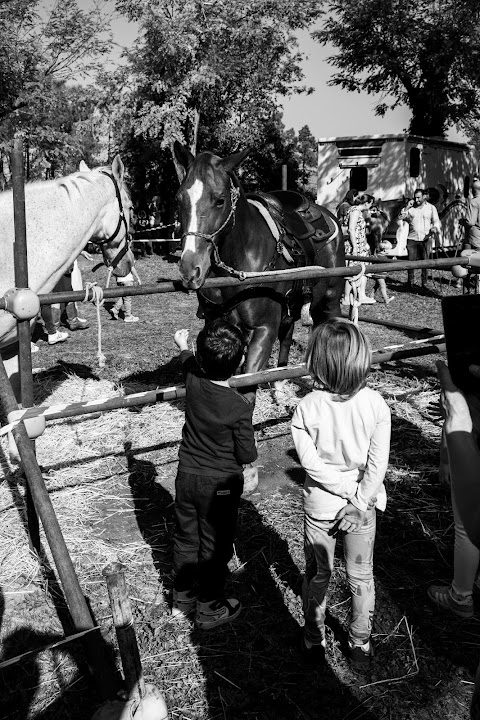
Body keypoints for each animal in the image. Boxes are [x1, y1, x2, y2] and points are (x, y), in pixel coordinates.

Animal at [172, 141, 344, 400]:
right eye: (180, 198)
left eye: (220, 200)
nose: (190, 269)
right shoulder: (217, 323)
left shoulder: (263, 329)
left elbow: (248, 380)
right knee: (287, 336)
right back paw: (279, 384)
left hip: (330, 300)